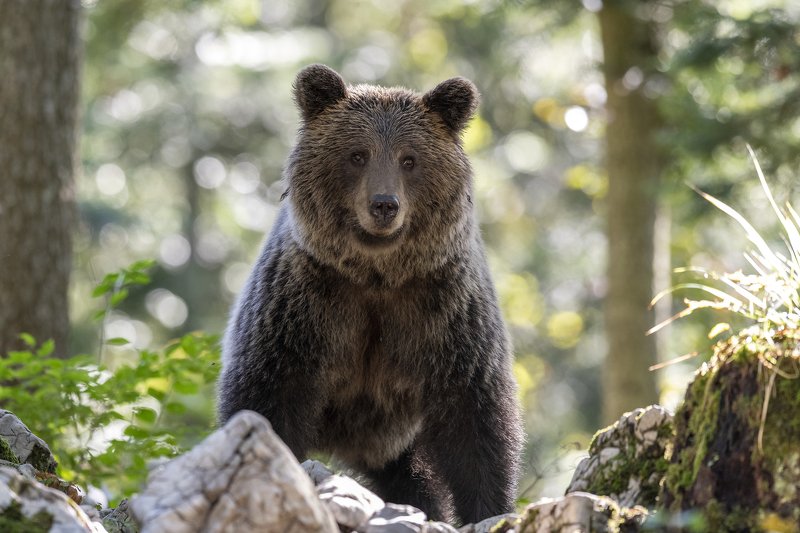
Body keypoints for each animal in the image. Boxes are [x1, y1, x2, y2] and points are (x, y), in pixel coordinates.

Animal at [217, 64, 523, 525]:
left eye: (409, 159)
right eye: (358, 154)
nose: (384, 204)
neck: (376, 275)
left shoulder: (444, 309)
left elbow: (473, 416)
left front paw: (489, 510)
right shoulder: (302, 305)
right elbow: (269, 394)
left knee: (414, 477)